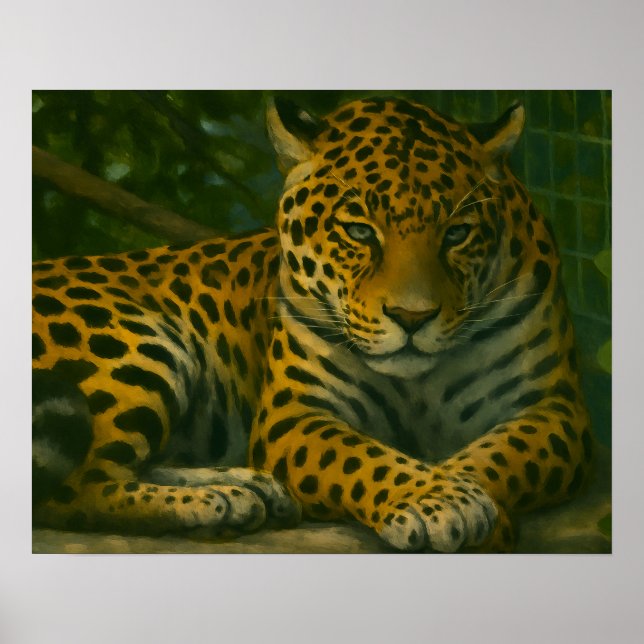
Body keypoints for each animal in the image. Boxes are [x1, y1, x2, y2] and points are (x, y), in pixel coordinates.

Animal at [32, 95, 593, 552]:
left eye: (457, 233)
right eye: (360, 231)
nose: (412, 317)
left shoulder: (552, 408)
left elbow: (493, 454)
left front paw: (466, 502)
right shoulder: (295, 414)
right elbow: (363, 456)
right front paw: (439, 501)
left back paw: (247, 487)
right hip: (133, 346)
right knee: (74, 490)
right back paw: (219, 502)